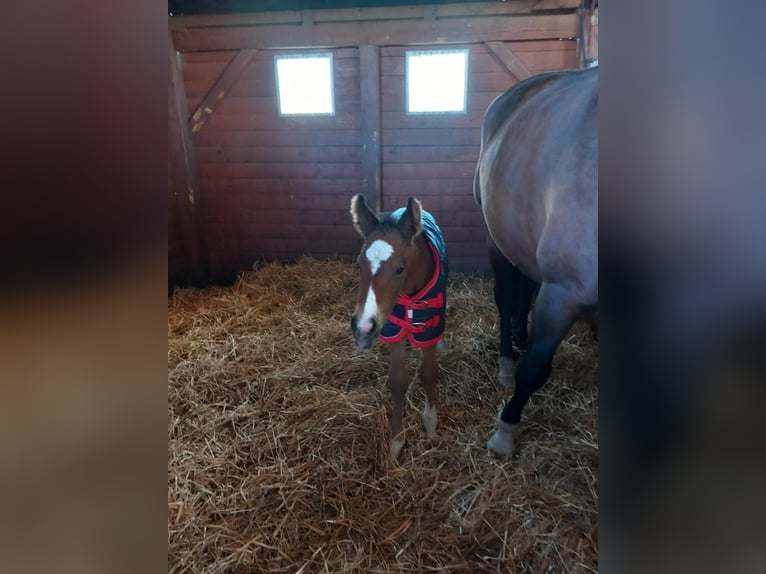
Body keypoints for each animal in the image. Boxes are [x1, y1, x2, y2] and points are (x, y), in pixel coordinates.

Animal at [349, 194, 448, 462]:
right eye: (359, 264)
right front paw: (396, 442)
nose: (362, 328)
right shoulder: (392, 326)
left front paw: (431, 426)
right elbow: (397, 380)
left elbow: (428, 372)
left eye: (400, 268)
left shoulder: (428, 327)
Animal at [473, 67, 598, 459]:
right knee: (504, 298)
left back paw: (519, 337)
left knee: (525, 289)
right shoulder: (563, 292)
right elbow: (534, 370)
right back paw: (507, 359)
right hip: (495, 239)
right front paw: (504, 431)